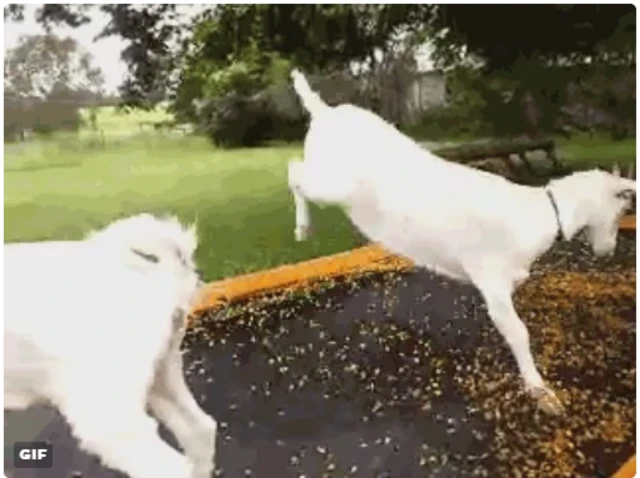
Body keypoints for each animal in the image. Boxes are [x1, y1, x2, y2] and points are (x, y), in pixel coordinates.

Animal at [288, 68, 636, 414]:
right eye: (622, 209)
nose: (608, 251)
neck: (542, 213)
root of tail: (324, 112)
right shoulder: (492, 281)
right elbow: (518, 332)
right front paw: (542, 393)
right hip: (332, 184)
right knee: (295, 173)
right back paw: (303, 228)